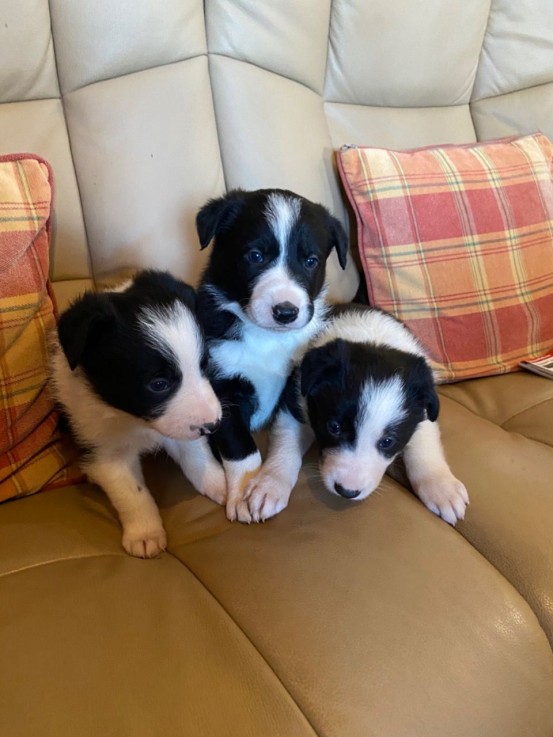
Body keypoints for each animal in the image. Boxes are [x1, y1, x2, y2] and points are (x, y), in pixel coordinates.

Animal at [51, 270, 224, 556]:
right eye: (159, 384)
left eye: (205, 365)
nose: (213, 425)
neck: (134, 421)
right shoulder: (103, 450)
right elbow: (132, 492)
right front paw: (145, 533)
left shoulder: (181, 426)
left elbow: (196, 454)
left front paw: (220, 482)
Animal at [196, 187, 348, 520]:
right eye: (255, 256)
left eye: (311, 261)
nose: (286, 312)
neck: (266, 336)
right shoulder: (222, 390)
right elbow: (240, 447)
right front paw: (242, 493)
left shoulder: (298, 382)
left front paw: (264, 487)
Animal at [239, 304, 468, 524]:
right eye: (334, 428)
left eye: (387, 441)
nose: (347, 492)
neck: (375, 337)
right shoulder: (295, 400)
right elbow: (286, 444)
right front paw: (269, 485)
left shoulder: (424, 412)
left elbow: (423, 446)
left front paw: (441, 488)